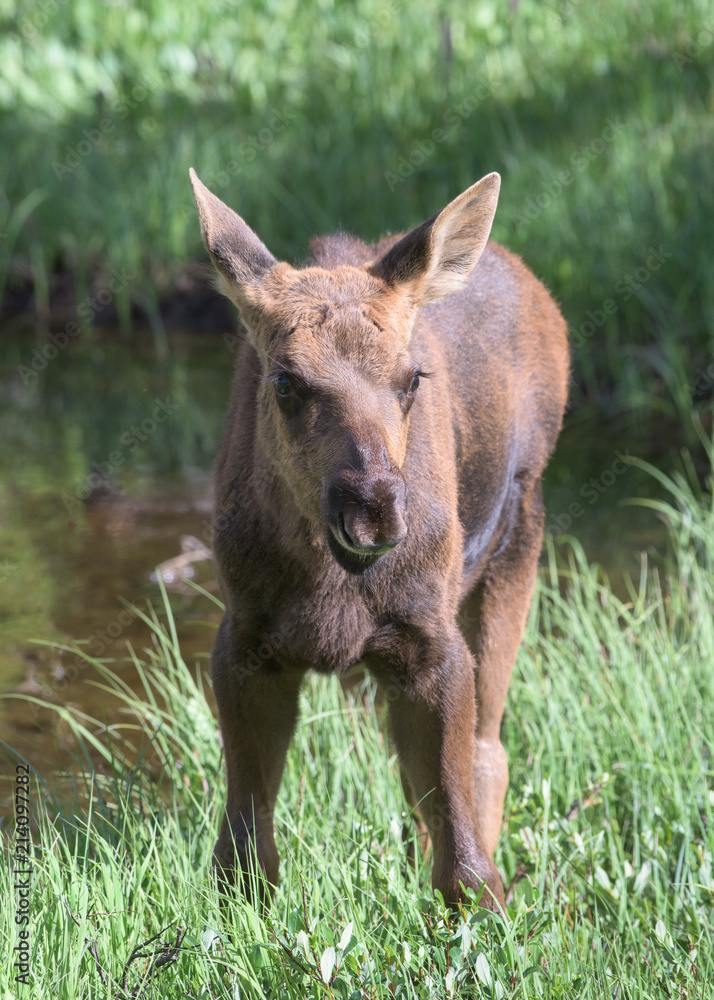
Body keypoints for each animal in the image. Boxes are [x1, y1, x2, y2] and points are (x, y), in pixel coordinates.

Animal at [189, 167, 569, 912]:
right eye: (285, 381)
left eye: (410, 377)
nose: (373, 511)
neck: (329, 583)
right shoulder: (245, 638)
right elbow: (245, 841)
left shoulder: (429, 636)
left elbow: (460, 846)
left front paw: (491, 916)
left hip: (518, 538)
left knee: (488, 748)